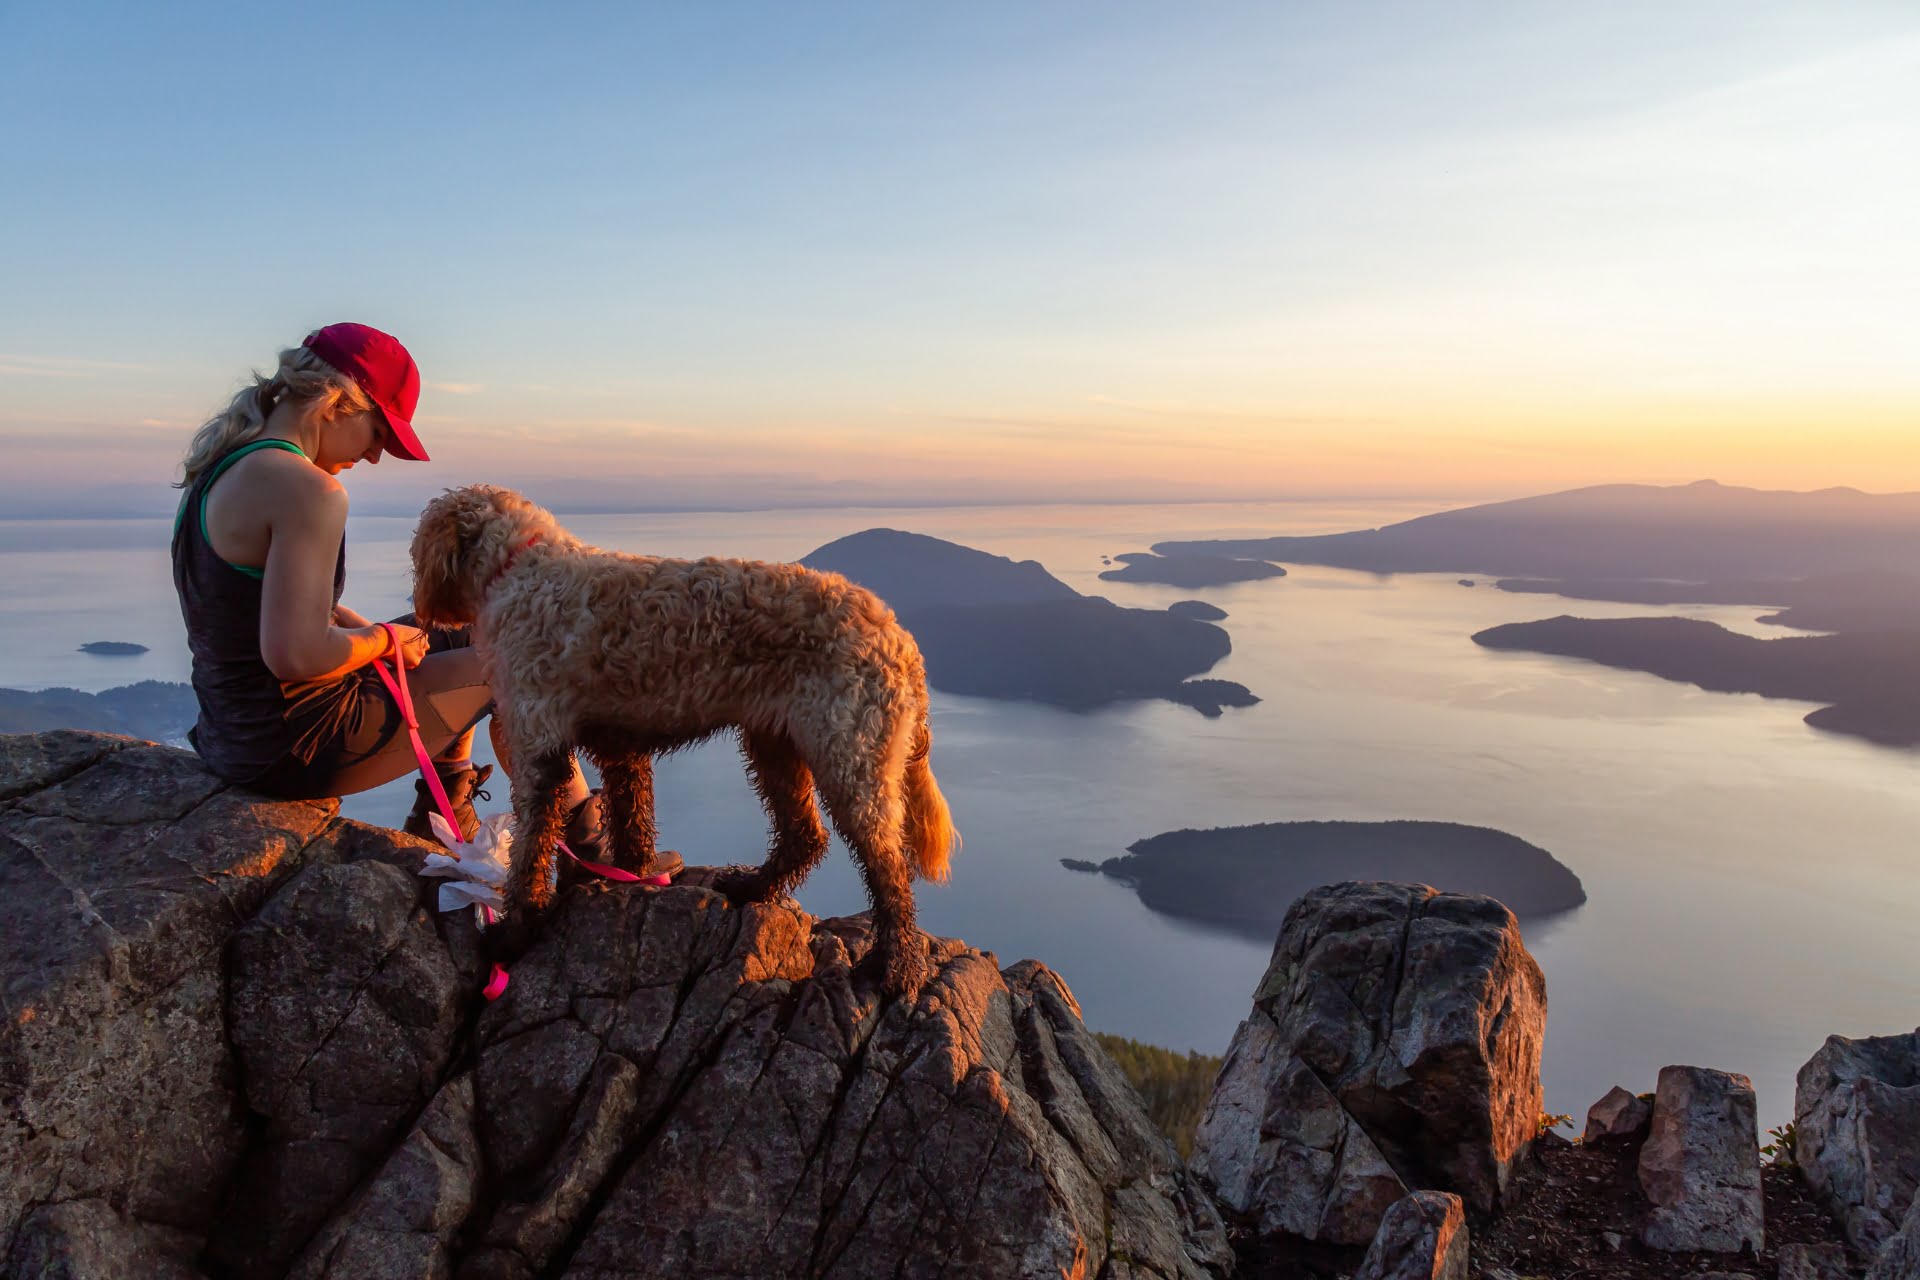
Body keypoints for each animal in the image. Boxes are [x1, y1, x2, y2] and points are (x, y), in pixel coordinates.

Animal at [414, 485, 967, 997]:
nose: (420, 611)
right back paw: (753, 885)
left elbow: (531, 850)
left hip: (850, 757)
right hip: (775, 742)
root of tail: (899, 639)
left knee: (888, 867)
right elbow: (631, 819)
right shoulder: (621, 748)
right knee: (805, 835)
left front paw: (515, 931)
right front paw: (632, 876)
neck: (522, 568)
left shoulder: (538, 747)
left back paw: (898, 965)